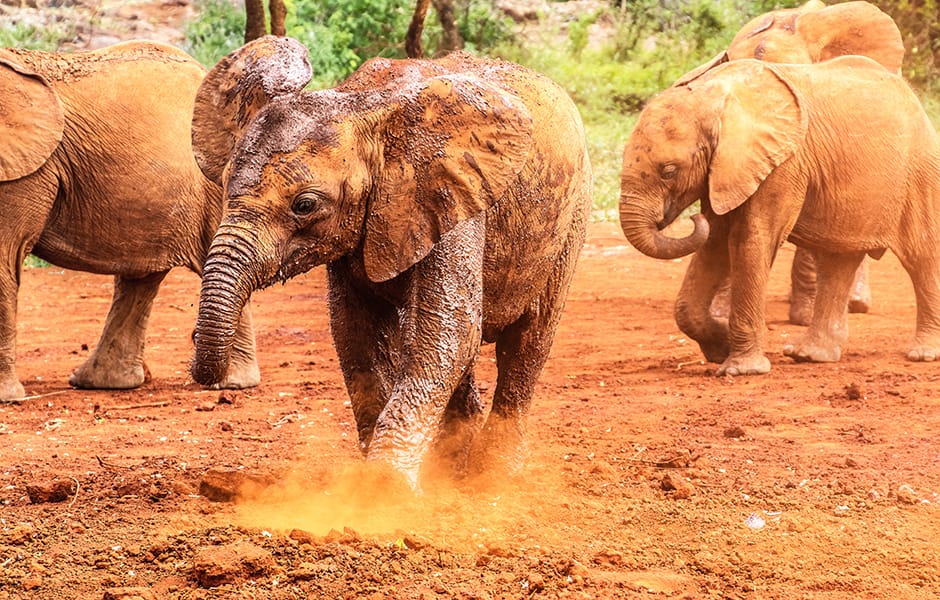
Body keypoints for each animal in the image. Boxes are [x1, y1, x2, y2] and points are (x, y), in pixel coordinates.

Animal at [187, 36, 592, 488]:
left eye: (304, 205)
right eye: (224, 186)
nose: (197, 348)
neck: (361, 105)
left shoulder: (450, 191)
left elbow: (448, 329)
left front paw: (385, 490)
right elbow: (356, 334)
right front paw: (371, 485)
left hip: (572, 219)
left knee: (527, 341)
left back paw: (493, 475)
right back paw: (451, 465)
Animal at [616, 56, 940, 376]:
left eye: (669, 171)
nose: (693, 219)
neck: (713, 96)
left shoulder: (784, 164)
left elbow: (749, 239)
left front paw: (740, 370)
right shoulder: (727, 169)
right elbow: (715, 242)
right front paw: (720, 348)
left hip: (919, 172)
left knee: (922, 256)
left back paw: (923, 354)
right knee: (838, 262)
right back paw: (810, 355)